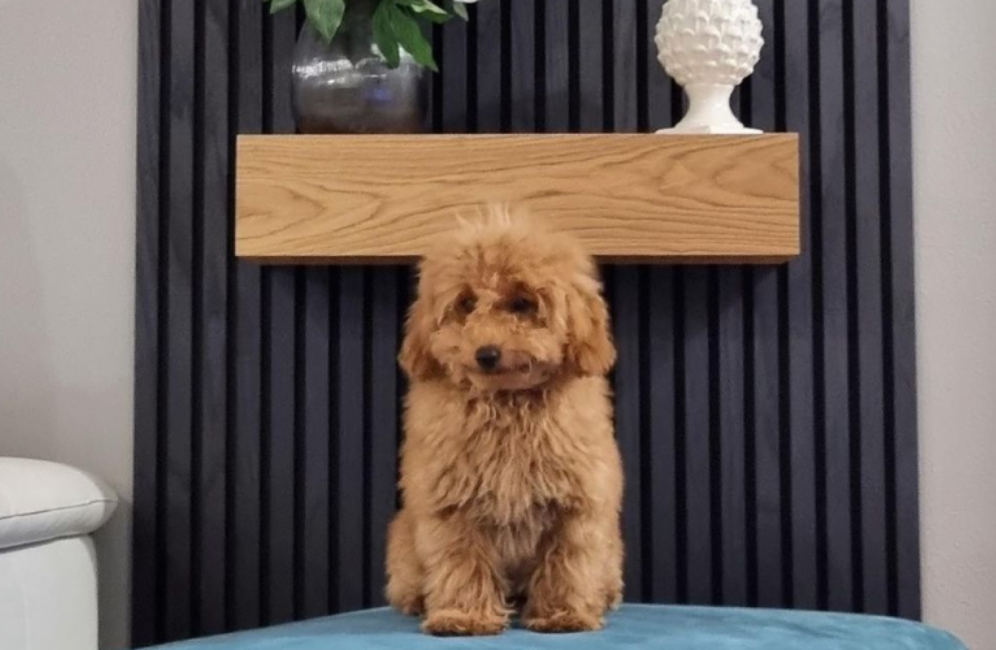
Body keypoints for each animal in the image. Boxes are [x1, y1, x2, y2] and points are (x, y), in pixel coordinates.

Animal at [384, 208, 624, 632]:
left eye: (522, 304)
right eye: (466, 303)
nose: (487, 353)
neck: (507, 403)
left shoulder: (577, 503)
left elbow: (567, 560)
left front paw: (563, 614)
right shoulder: (450, 503)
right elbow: (461, 560)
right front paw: (462, 616)